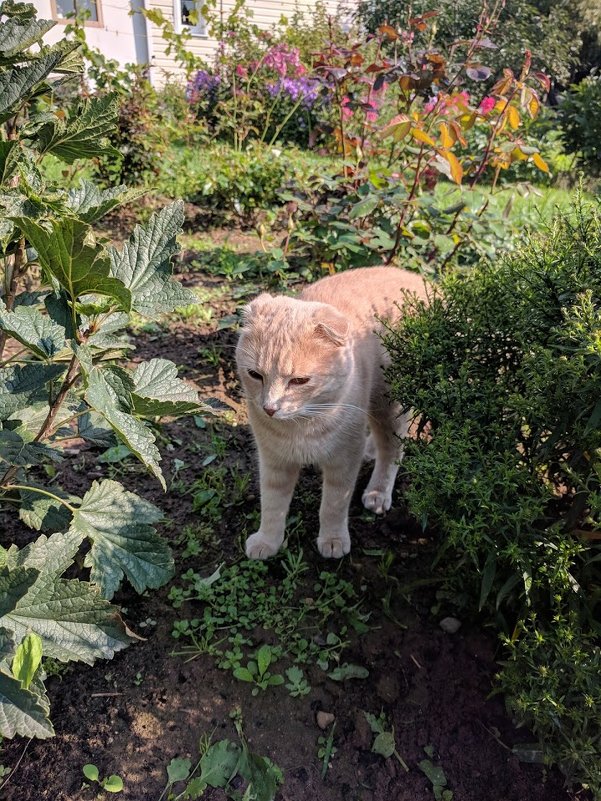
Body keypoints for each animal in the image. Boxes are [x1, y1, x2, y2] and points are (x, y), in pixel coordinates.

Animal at [234, 266, 426, 560]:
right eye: (255, 375)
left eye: (299, 381)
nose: (270, 407)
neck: (301, 425)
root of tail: (420, 279)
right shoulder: (273, 461)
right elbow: (272, 505)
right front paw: (268, 541)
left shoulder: (343, 461)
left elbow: (333, 505)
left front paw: (333, 539)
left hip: (387, 404)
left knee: (392, 448)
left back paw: (378, 491)